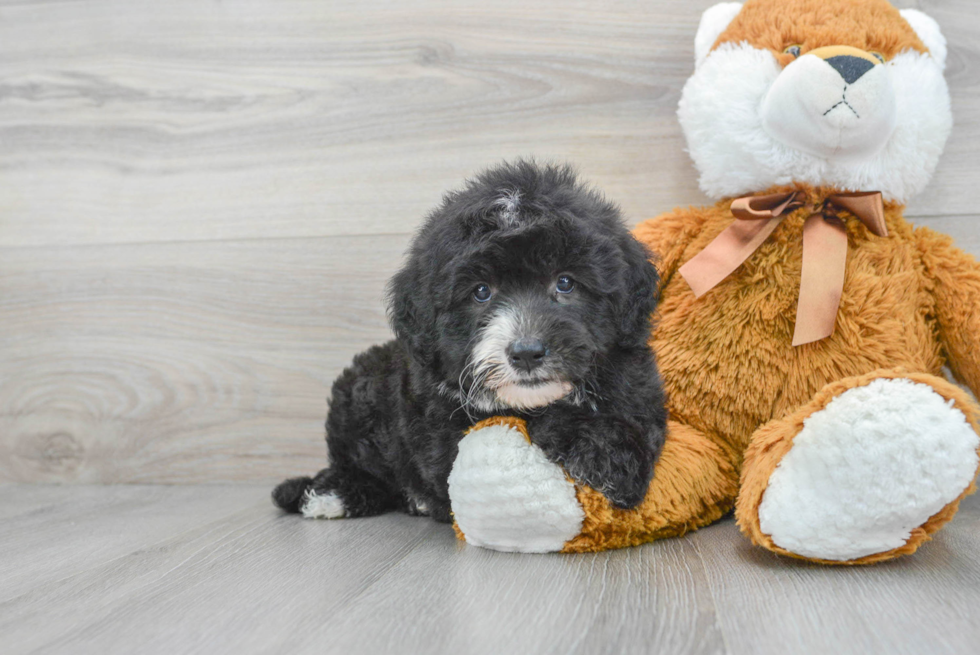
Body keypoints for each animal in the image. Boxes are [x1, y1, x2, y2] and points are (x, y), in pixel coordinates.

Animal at [274, 163, 668, 524]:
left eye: (566, 282)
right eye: (481, 291)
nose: (526, 353)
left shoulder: (639, 387)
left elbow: (640, 423)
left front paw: (615, 456)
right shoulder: (442, 432)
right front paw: (605, 455)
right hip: (355, 394)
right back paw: (331, 493)